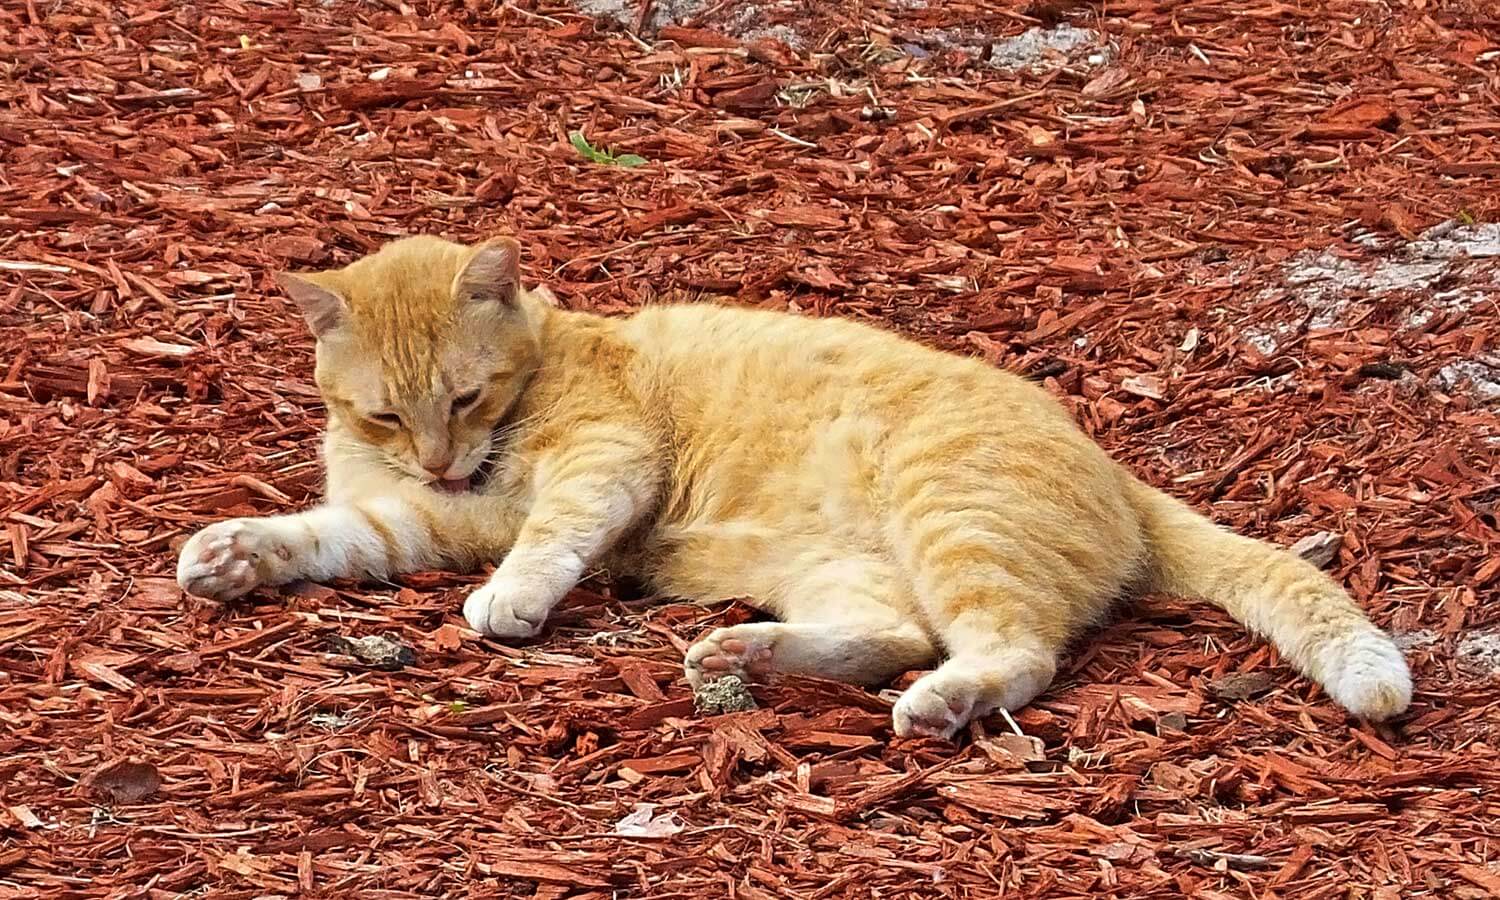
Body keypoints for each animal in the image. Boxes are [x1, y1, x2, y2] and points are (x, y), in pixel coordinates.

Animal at [178, 235, 1416, 741]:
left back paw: (936, 706)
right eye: (387, 412)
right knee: (898, 635)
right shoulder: (424, 515)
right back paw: (747, 656)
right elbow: (335, 533)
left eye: (467, 396)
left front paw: (514, 602)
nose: (440, 455)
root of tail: (1118, 469)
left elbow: (549, 536)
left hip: (949, 516)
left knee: (1011, 652)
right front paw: (236, 553)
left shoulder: (596, 463)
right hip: (838, 571)